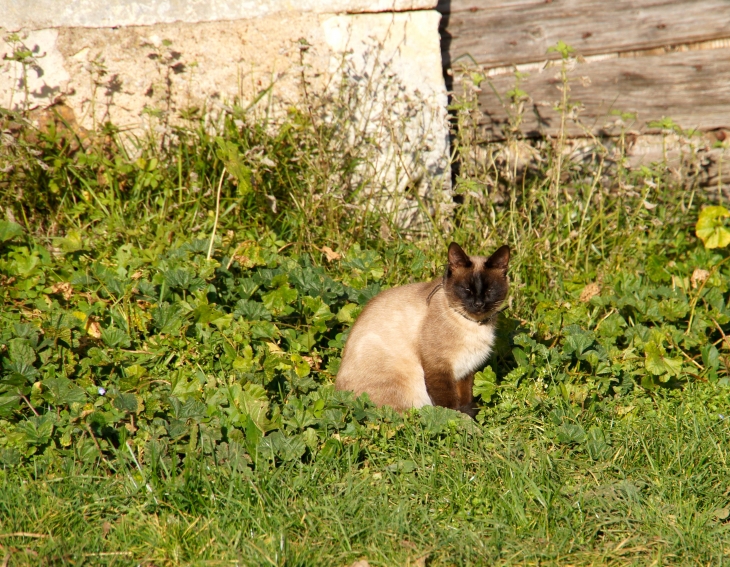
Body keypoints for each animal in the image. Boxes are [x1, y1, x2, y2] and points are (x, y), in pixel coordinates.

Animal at [334, 242, 510, 414]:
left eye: (490, 290)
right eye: (466, 289)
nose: (478, 304)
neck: (473, 325)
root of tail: (340, 398)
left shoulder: (466, 370)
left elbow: (466, 398)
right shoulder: (439, 367)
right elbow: (449, 408)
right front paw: (457, 419)